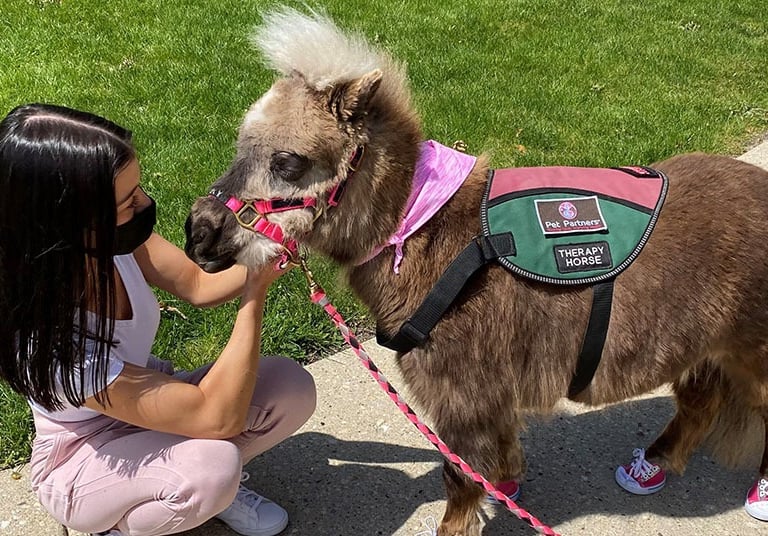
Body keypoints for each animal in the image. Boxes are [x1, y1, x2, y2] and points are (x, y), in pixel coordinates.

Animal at [184, 7, 768, 535]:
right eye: (239, 147)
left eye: (288, 163)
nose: (198, 233)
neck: (429, 239)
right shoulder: (486, 398)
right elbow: (495, 457)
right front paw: (507, 488)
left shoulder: (463, 395)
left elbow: (459, 478)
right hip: (705, 347)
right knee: (700, 402)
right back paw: (654, 465)